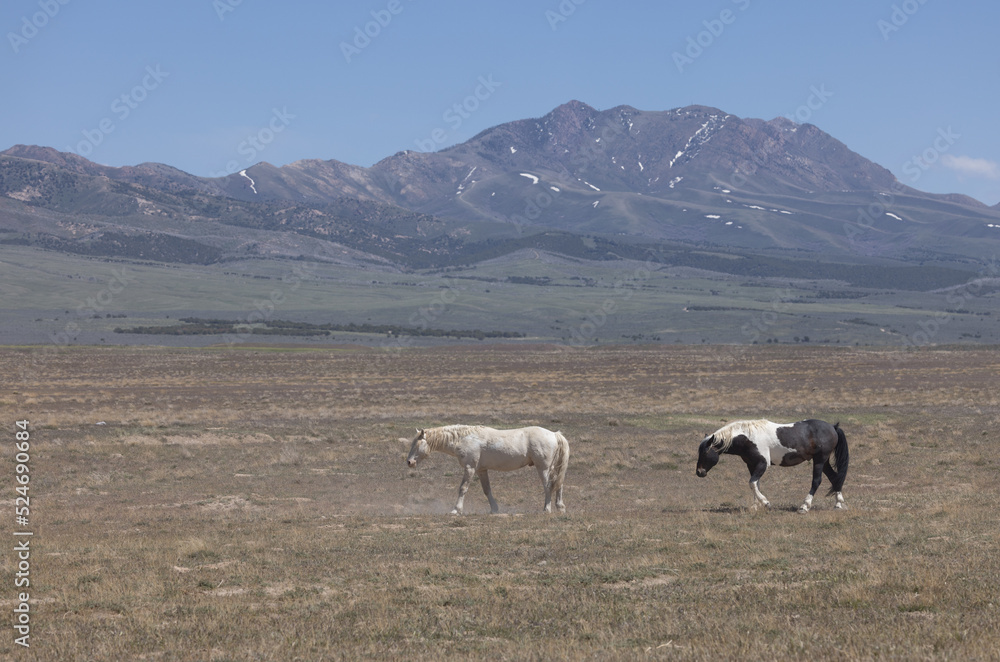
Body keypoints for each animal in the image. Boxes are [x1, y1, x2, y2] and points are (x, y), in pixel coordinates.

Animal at [403, 425, 570, 515]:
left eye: (417, 444)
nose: (409, 462)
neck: (463, 439)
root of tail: (554, 434)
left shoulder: (470, 469)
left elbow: (463, 488)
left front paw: (456, 510)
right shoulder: (481, 471)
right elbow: (487, 490)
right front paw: (494, 509)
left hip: (543, 468)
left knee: (548, 486)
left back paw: (546, 509)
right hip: (551, 468)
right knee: (558, 485)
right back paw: (560, 507)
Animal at [696, 419, 849, 513]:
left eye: (705, 452)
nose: (699, 472)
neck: (748, 438)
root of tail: (833, 427)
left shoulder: (762, 464)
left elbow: (752, 483)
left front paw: (766, 503)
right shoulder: (751, 465)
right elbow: (755, 484)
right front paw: (756, 506)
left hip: (819, 460)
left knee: (816, 481)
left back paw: (804, 507)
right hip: (824, 462)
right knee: (835, 478)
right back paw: (838, 504)